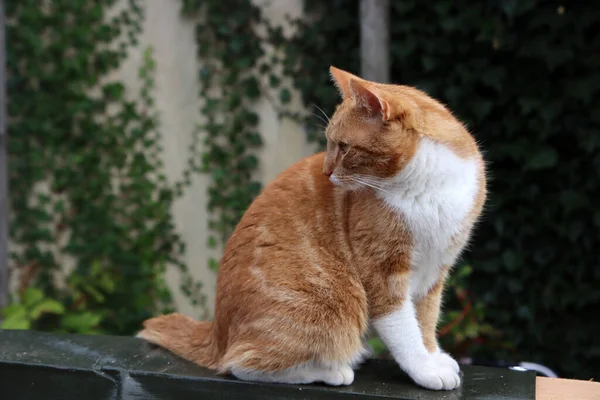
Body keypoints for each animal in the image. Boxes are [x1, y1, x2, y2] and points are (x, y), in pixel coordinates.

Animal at [137, 65, 488, 390]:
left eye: (344, 147)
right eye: (329, 145)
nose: (326, 172)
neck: (427, 184)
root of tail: (217, 332)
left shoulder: (434, 270)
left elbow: (426, 321)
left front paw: (433, 355)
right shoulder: (382, 271)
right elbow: (404, 330)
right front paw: (425, 370)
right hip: (327, 307)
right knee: (239, 363)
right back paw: (330, 370)